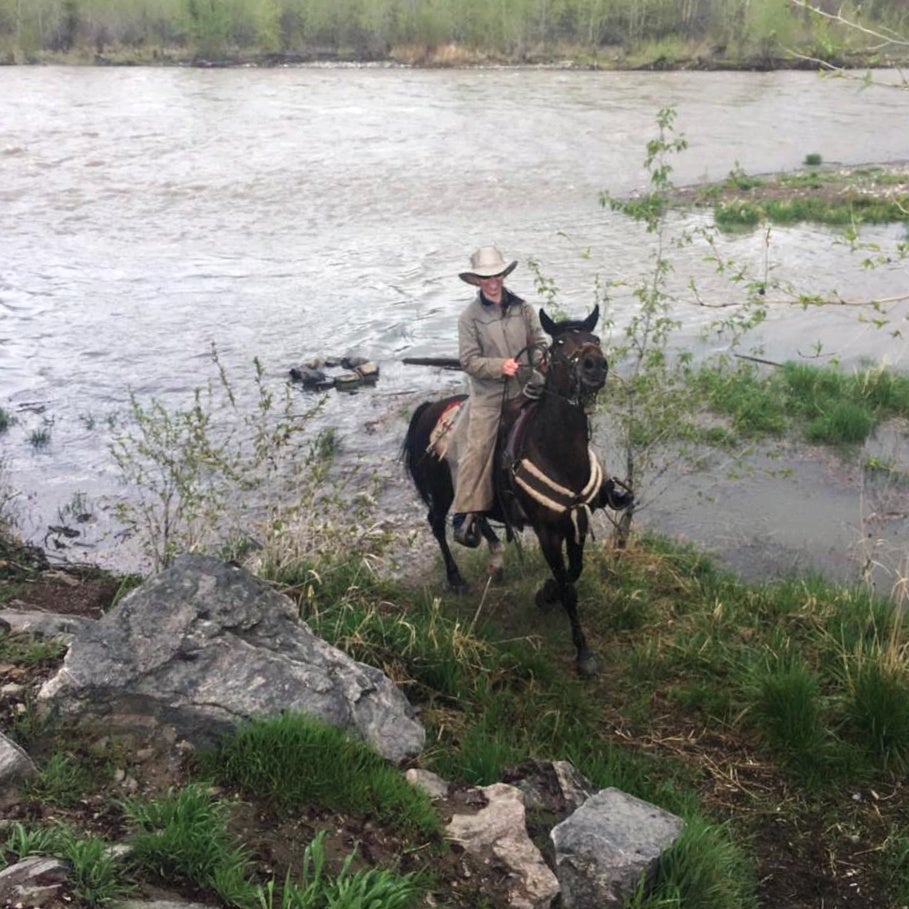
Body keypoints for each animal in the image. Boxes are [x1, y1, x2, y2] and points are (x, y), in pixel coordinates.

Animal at [400, 306, 628, 672]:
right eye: (559, 343)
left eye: (594, 338)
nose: (595, 365)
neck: (556, 453)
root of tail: (430, 408)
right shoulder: (548, 532)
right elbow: (568, 587)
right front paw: (583, 654)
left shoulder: (576, 523)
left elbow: (574, 572)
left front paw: (544, 594)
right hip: (443, 490)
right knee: (436, 522)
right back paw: (456, 579)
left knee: (476, 517)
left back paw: (493, 555)